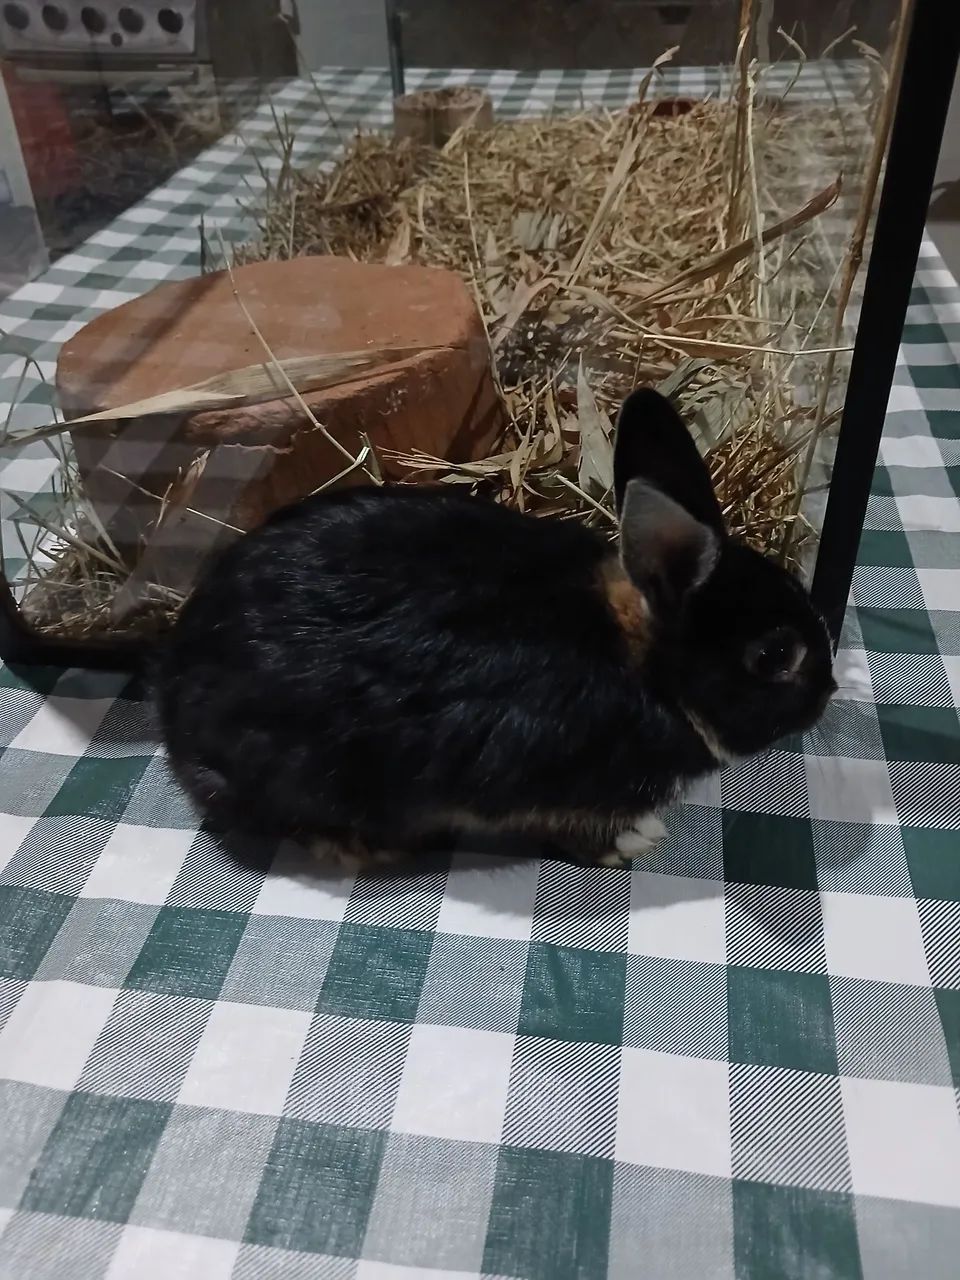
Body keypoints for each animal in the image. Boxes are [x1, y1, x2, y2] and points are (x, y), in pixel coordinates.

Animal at [154, 386, 835, 869]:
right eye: (775, 656)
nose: (828, 694)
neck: (643, 666)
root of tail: (173, 713)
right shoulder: (542, 788)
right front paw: (635, 840)